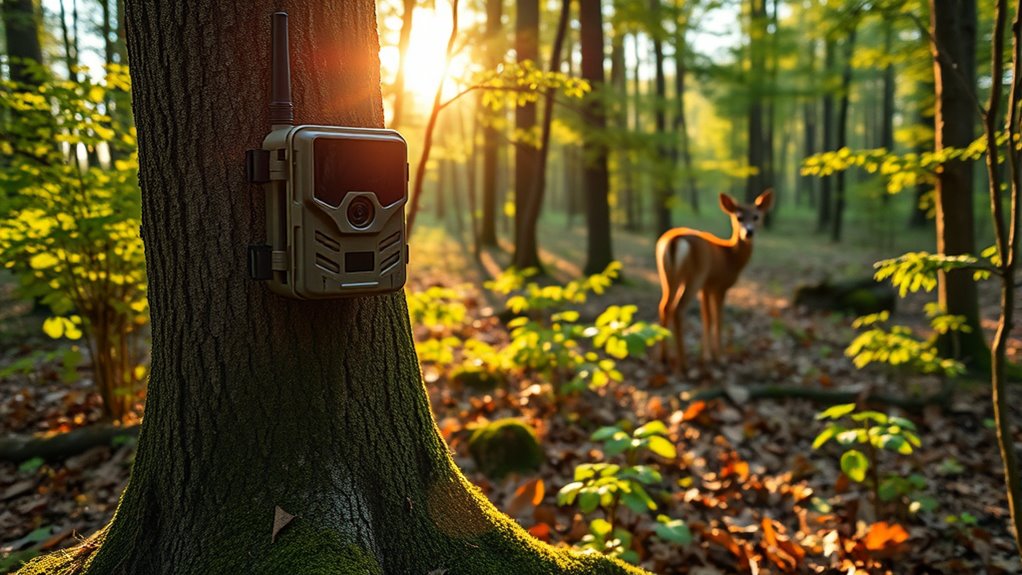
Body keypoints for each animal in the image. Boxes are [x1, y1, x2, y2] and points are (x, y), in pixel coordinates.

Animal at [655, 189, 773, 371]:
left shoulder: (707, 287)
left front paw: (706, 356)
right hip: (695, 275)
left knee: (664, 306)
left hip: (668, 276)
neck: (730, 257)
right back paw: (683, 364)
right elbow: (718, 319)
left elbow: (707, 318)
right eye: (739, 217)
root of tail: (675, 240)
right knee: (677, 309)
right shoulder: (719, 286)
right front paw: (720, 357)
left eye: (756, 216)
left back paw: (664, 358)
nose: (749, 232)